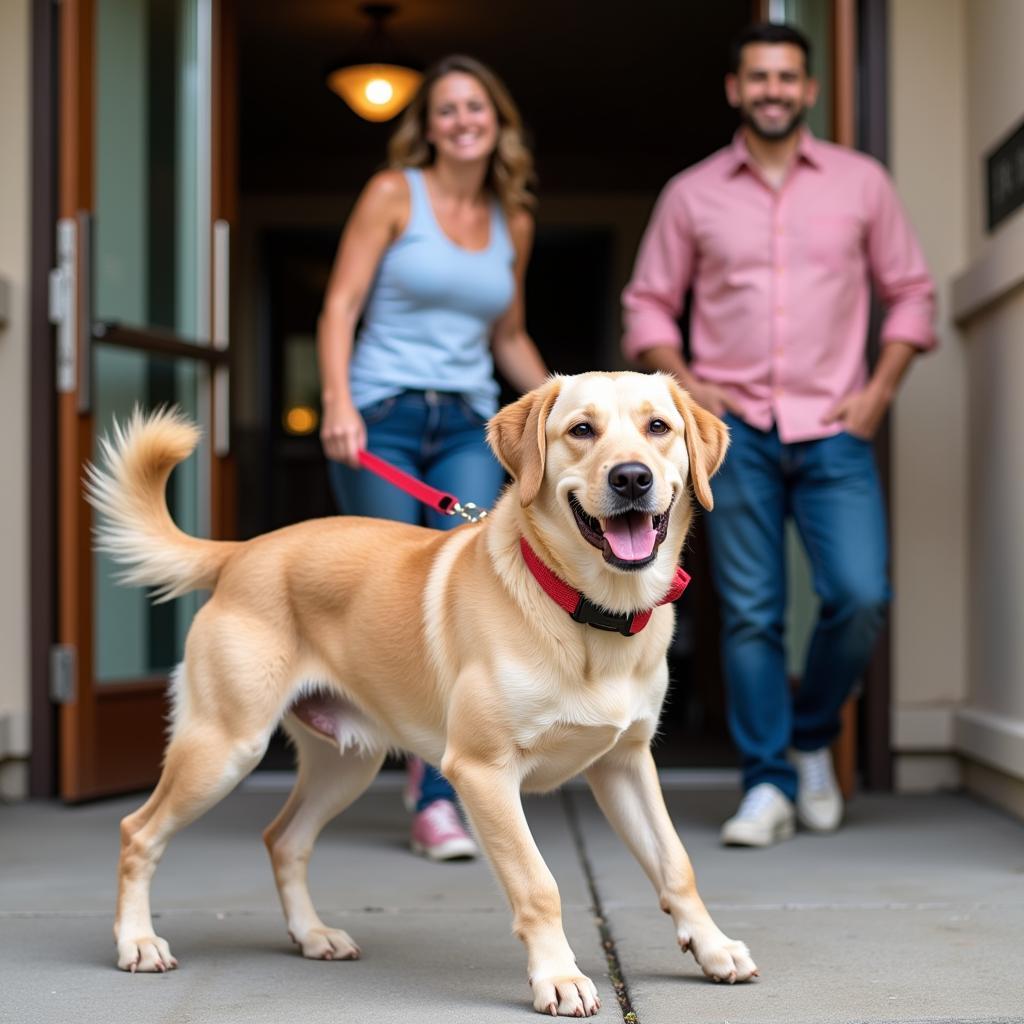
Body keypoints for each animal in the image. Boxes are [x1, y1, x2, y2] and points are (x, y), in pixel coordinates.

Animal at [88, 374, 757, 1015]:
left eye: (658, 427)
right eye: (582, 430)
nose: (631, 477)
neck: (589, 613)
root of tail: (243, 551)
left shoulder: (625, 764)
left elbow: (676, 864)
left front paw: (713, 946)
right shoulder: (483, 773)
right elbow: (538, 883)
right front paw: (559, 977)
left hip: (344, 764)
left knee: (284, 840)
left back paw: (312, 935)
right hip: (224, 748)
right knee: (137, 833)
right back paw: (137, 942)